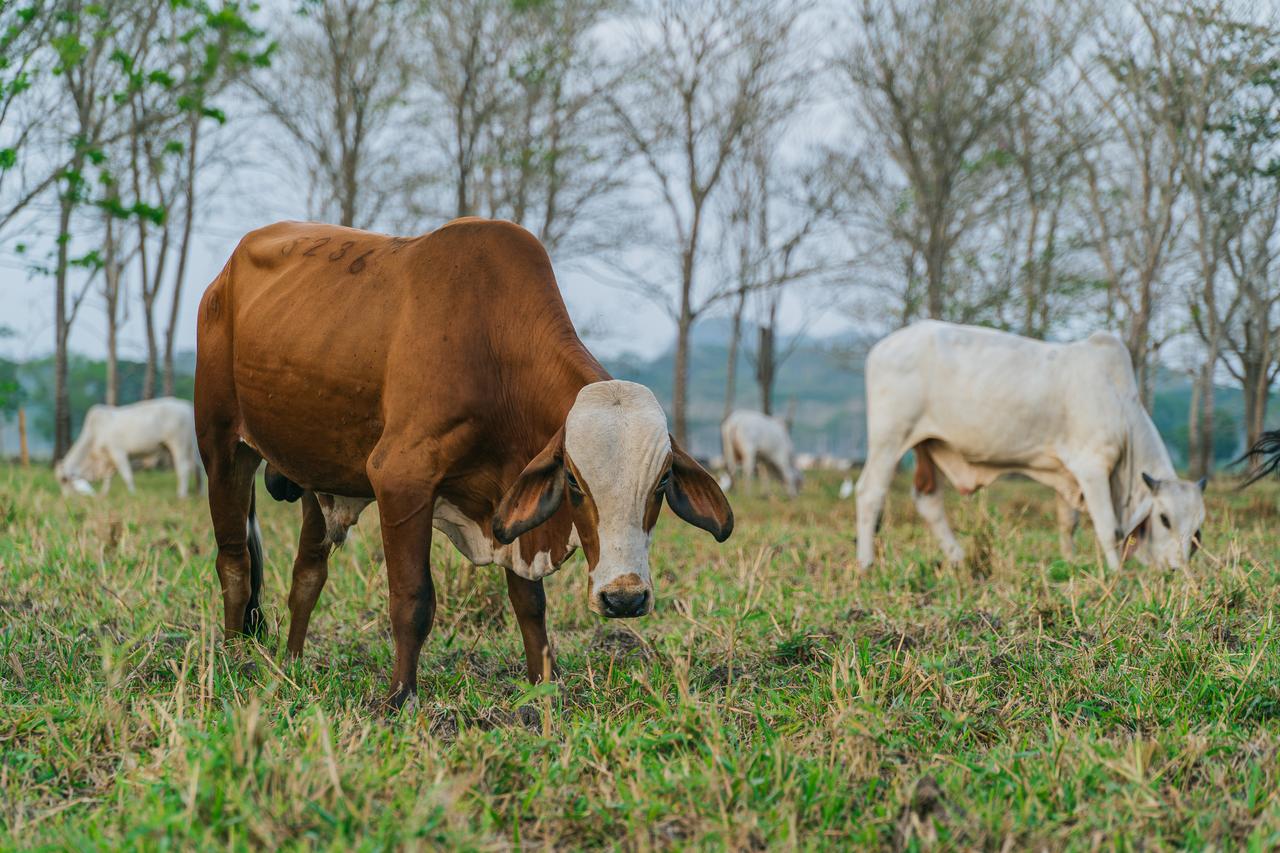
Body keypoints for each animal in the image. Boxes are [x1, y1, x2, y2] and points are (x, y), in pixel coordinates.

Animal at [56, 399, 202, 499]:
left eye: (64, 480)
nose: (66, 498)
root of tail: (187, 406)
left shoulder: (118, 452)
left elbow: (127, 475)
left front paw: (133, 493)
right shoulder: (109, 459)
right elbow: (108, 479)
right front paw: (103, 494)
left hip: (179, 444)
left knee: (184, 468)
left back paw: (181, 494)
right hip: (193, 447)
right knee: (198, 468)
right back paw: (200, 493)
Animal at [189, 217, 732, 701]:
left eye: (661, 483)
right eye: (575, 483)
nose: (624, 597)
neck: (493, 351)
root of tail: (224, 274)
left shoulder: (510, 499)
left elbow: (529, 602)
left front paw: (543, 685)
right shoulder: (401, 480)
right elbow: (412, 600)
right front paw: (400, 697)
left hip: (316, 474)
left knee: (307, 573)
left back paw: (292, 664)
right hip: (222, 448)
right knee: (234, 561)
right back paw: (235, 659)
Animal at [855, 322, 1203, 568]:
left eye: (1198, 530)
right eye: (1165, 519)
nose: (1176, 568)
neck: (1121, 407)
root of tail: (882, 347)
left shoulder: (1068, 472)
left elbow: (1068, 523)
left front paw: (1070, 562)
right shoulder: (1092, 466)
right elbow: (1109, 528)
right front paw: (1115, 573)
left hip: (928, 443)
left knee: (928, 500)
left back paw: (957, 559)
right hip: (889, 438)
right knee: (870, 493)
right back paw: (867, 563)